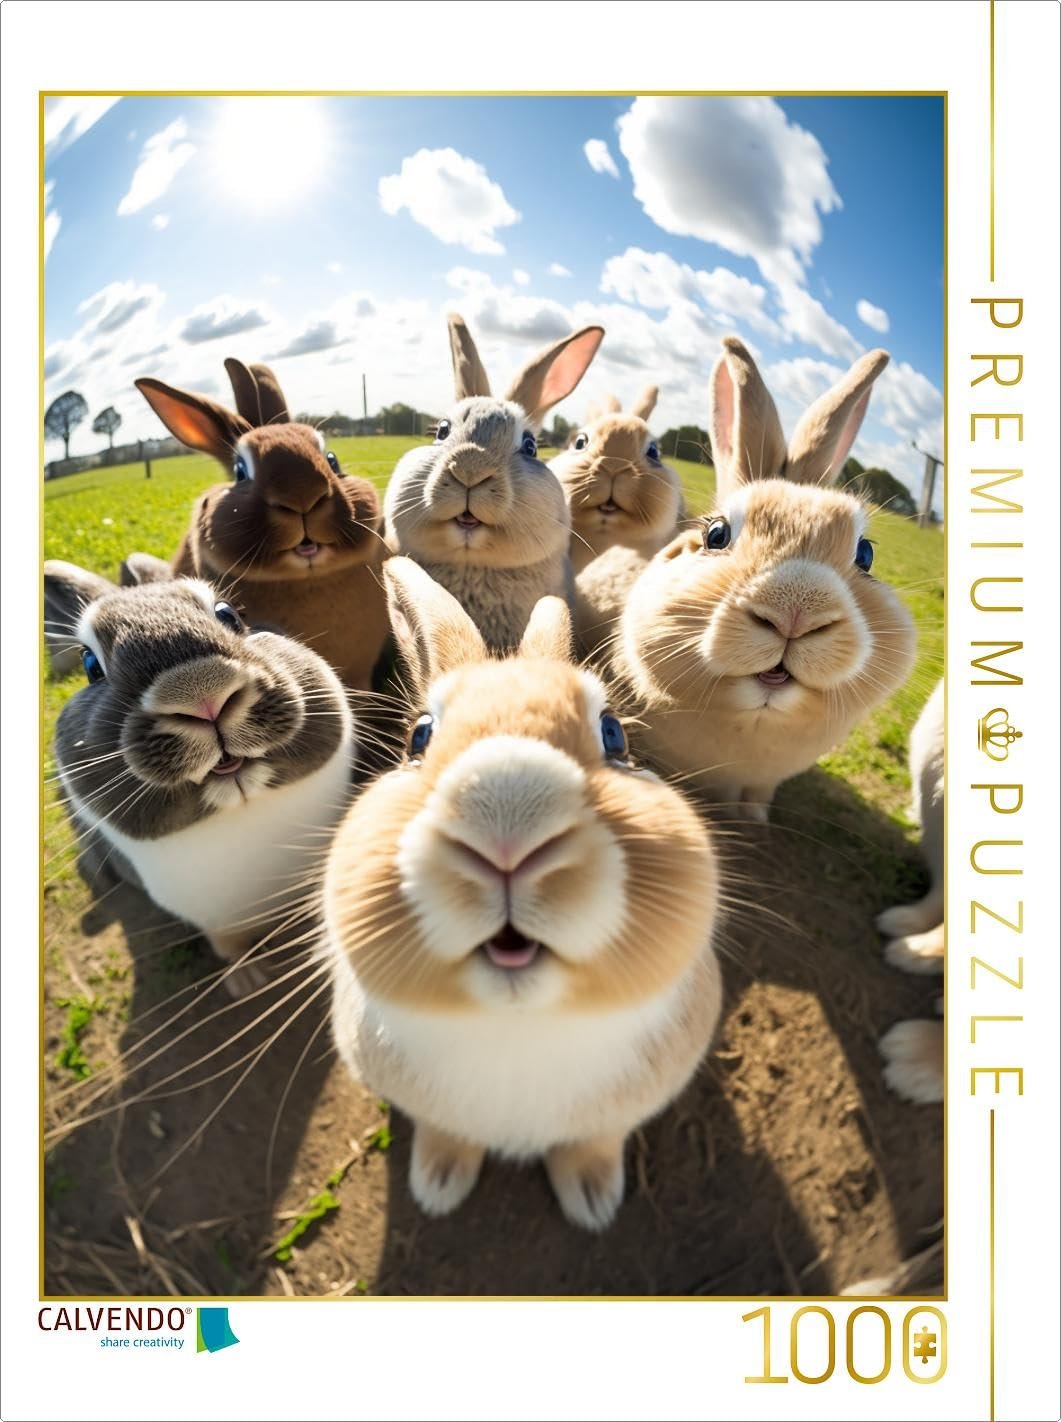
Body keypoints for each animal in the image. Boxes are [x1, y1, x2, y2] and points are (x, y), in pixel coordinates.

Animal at [47, 558, 357, 998]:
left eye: (229, 615)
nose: (203, 694)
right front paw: (248, 980)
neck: (243, 814)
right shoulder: (217, 922)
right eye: (90, 665)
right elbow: (229, 946)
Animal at [317, 556, 722, 1231]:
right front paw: (438, 1185)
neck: (517, 1026)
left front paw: (593, 1201)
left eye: (614, 735)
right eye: (419, 738)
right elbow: (446, 1134)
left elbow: (591, 1143)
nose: (507, 800)